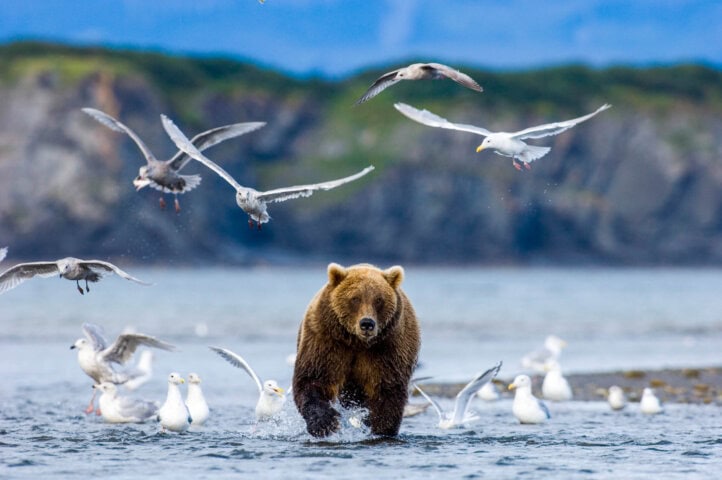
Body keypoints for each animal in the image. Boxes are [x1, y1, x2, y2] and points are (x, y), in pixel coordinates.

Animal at [292, 262, 420, 437]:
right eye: (355, 298)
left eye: (378, 299)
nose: (367, 323)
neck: (357, 342)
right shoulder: (326, 341)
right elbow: (314, 378)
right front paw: (324, 423)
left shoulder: (388, 348)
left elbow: (387, 389)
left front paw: (380, 428)